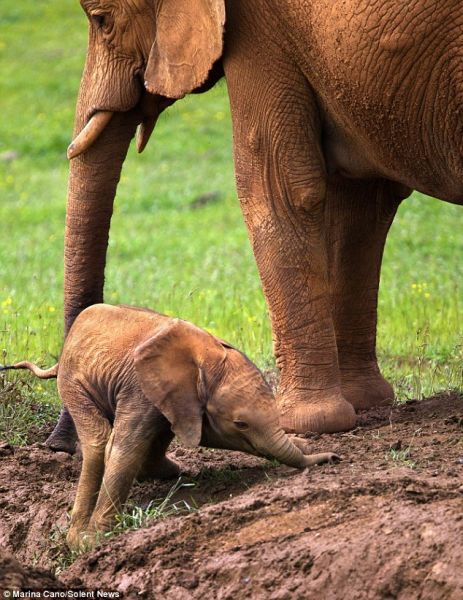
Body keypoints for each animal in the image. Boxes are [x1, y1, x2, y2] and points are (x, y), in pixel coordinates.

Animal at [1, 304, 338, 548]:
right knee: (99, 440)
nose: (334, 458)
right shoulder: (139, 387)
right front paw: (97, 541)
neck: (204, 357)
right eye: (240, 424)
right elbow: (125, 449)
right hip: (73, 383)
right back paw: (79, 539)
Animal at [46, 0, 463, 452]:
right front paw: (364, 403)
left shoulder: (260, 28)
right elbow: (363, 201)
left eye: (101, 20)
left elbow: (271, 188)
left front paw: (299, 421)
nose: (59, 443)